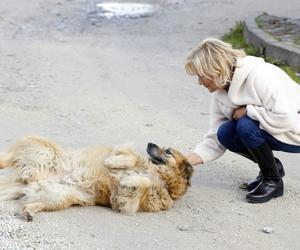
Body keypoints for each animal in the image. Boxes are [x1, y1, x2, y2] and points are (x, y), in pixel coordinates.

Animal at [0, 136, 192, 220]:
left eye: (168, 151)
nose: (149, 143)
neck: (163, 180)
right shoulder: (121, 149)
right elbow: (132, 160)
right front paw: (114, 163)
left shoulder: (124, 200)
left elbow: (142, 183)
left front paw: (130, 179)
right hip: (44, 151)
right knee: (7, 157)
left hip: (60, 195)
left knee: (31, 203)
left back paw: (29, 212)